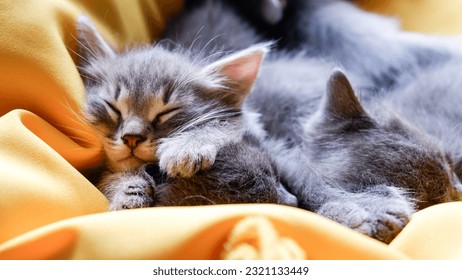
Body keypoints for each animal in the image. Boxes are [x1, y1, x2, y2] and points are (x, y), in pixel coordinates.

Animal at [76, 15, 296, 210]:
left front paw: (188, 147)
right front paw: (124, 189)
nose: (132, 137)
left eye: (167, 112)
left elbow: (221, 124)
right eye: (113, 107)